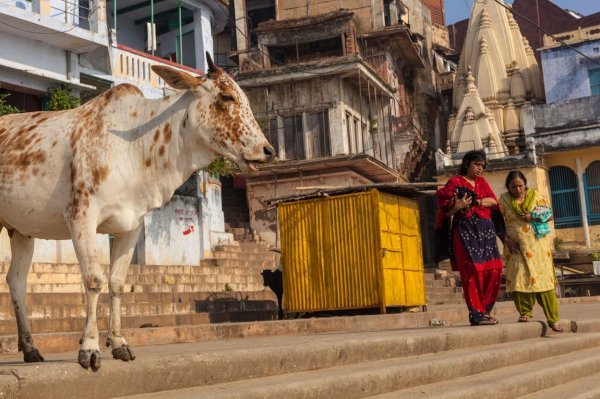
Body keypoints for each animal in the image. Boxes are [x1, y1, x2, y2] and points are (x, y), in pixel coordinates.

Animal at [0, 54, 276, 372]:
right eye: (227, 96)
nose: (267, 150)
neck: (135, 148)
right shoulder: (81, 217)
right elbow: (93, 280)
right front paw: (89, 348)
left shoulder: (131, 226)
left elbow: (117, 283)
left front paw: (119, 343)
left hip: (21, 230)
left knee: (16, 281)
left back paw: (30, 348)